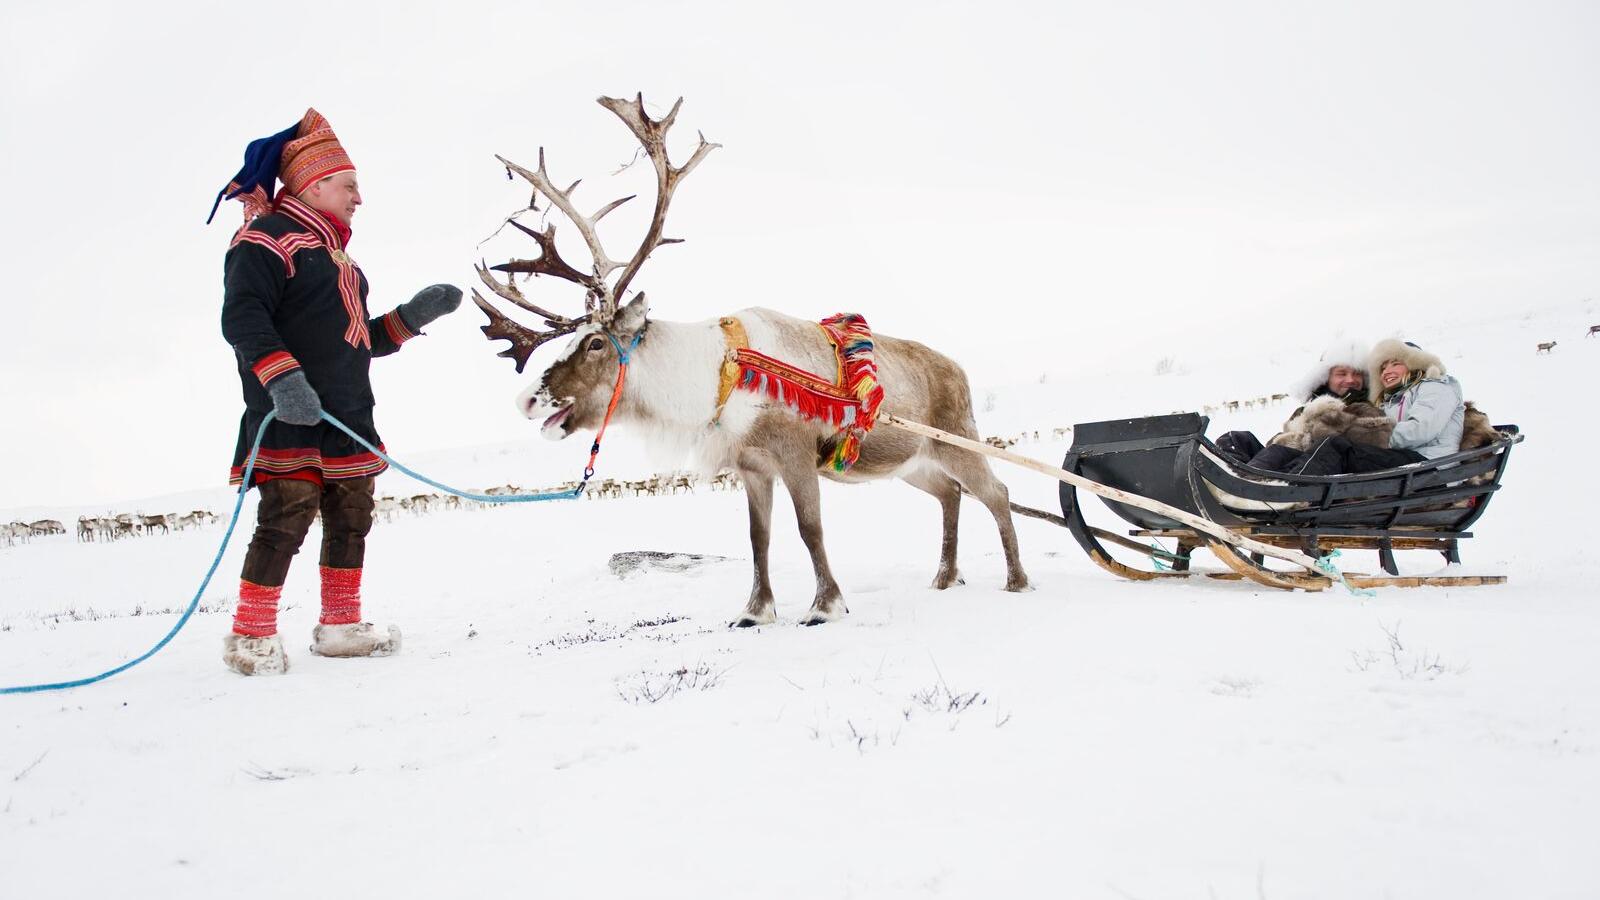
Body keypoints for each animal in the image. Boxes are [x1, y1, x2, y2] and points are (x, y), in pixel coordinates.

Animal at [472, 95, 1029, 627]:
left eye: (595, 343)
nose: (527, 400)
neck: (715, 378)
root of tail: (957, 369)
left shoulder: (796, 455)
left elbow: (809, 529)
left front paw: (825, 605)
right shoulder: (752, 466)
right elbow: (758, 538)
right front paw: (755, 610)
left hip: (957, 438)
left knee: (997, 491)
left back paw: (1016, 580)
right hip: (912, 461)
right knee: (950, 494)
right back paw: (945, 577)